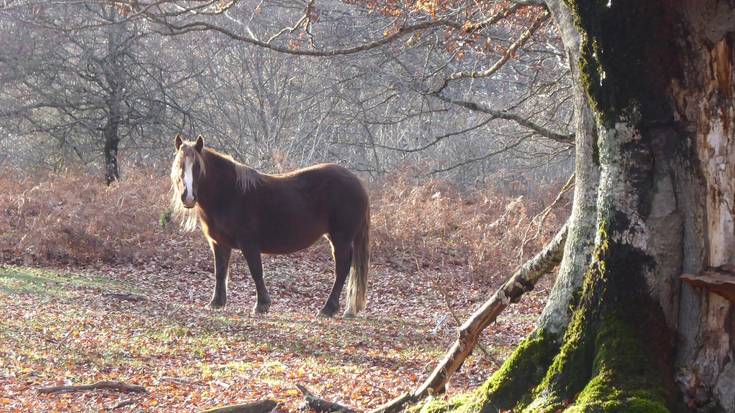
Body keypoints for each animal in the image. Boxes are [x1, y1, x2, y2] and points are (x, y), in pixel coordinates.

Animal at [170, 134, 370, 316]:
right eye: (179, 165)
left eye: (197, 166)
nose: (188, 197)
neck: (229, 194)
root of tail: (357, 183)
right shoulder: (218, 243)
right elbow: (220, 272)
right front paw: (216, 303)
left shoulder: (249, 243)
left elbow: (256, 271)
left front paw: (262, 305)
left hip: (341, 238)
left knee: (342, 268)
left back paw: (328, 309)